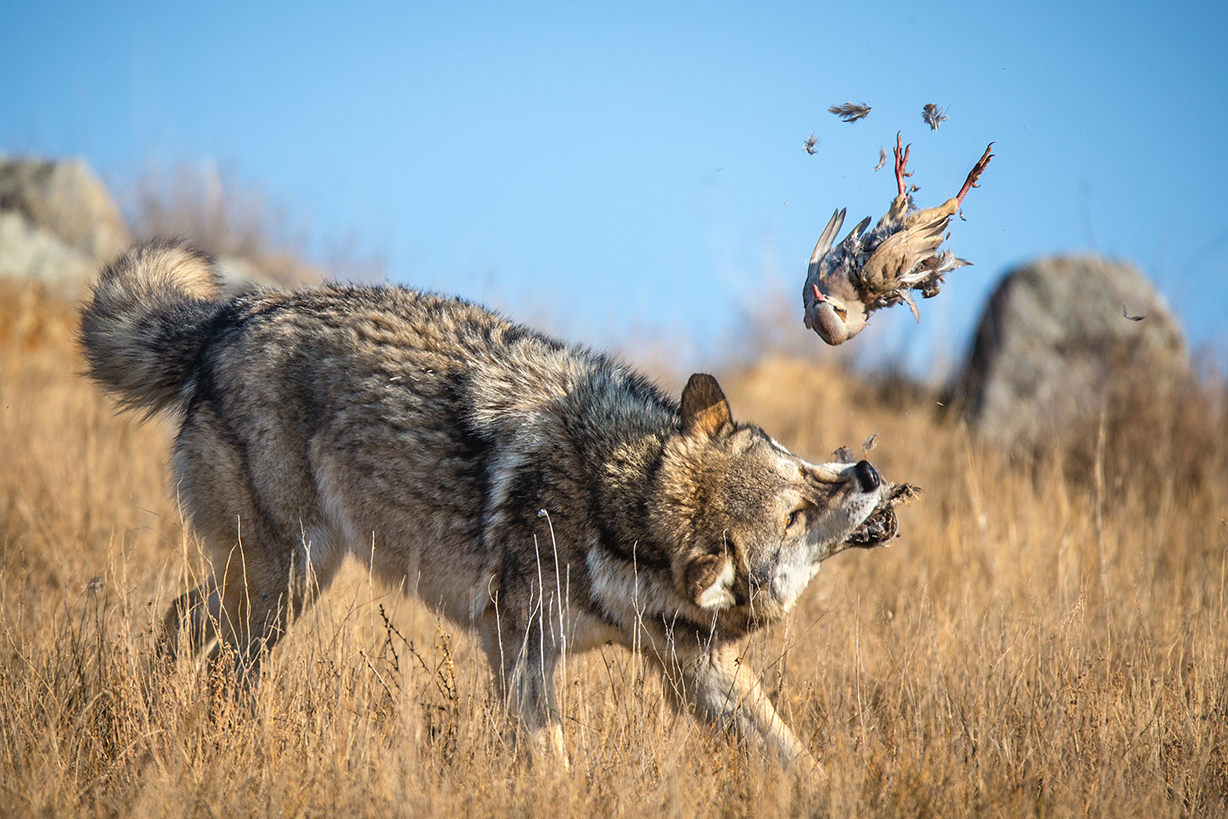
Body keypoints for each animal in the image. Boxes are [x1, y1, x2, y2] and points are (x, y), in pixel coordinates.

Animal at [81, 240, 898, 766]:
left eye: (796, 466)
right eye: (792, 515)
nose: (866, 473)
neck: (613, 498)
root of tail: (236, 312)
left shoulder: (698, 669)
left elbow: (793, 755)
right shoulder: (516, 648)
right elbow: (552, 764)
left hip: (281, 580)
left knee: (181, 622)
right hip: (288, 580)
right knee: (214, 651)